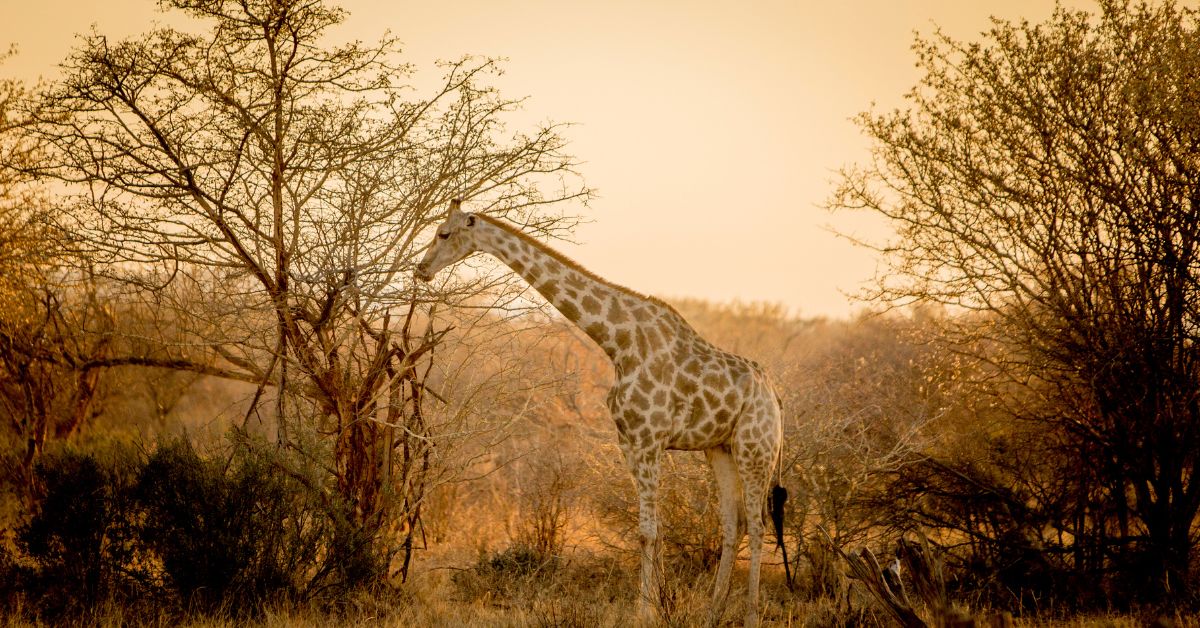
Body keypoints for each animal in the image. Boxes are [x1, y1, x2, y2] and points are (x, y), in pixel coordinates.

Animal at [415, 200, 787, 627]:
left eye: (443, 233)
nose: (421, 269)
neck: (618, 341)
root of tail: (775, 396)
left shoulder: (648, 439)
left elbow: (647, 530)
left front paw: (644, 610)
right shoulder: (629, 442)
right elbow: (652, 529)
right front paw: (659, 604)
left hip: (755, 447)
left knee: (758, 525)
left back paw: (751, 615)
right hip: (720, 449)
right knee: (734, 523)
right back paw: (712, 611)